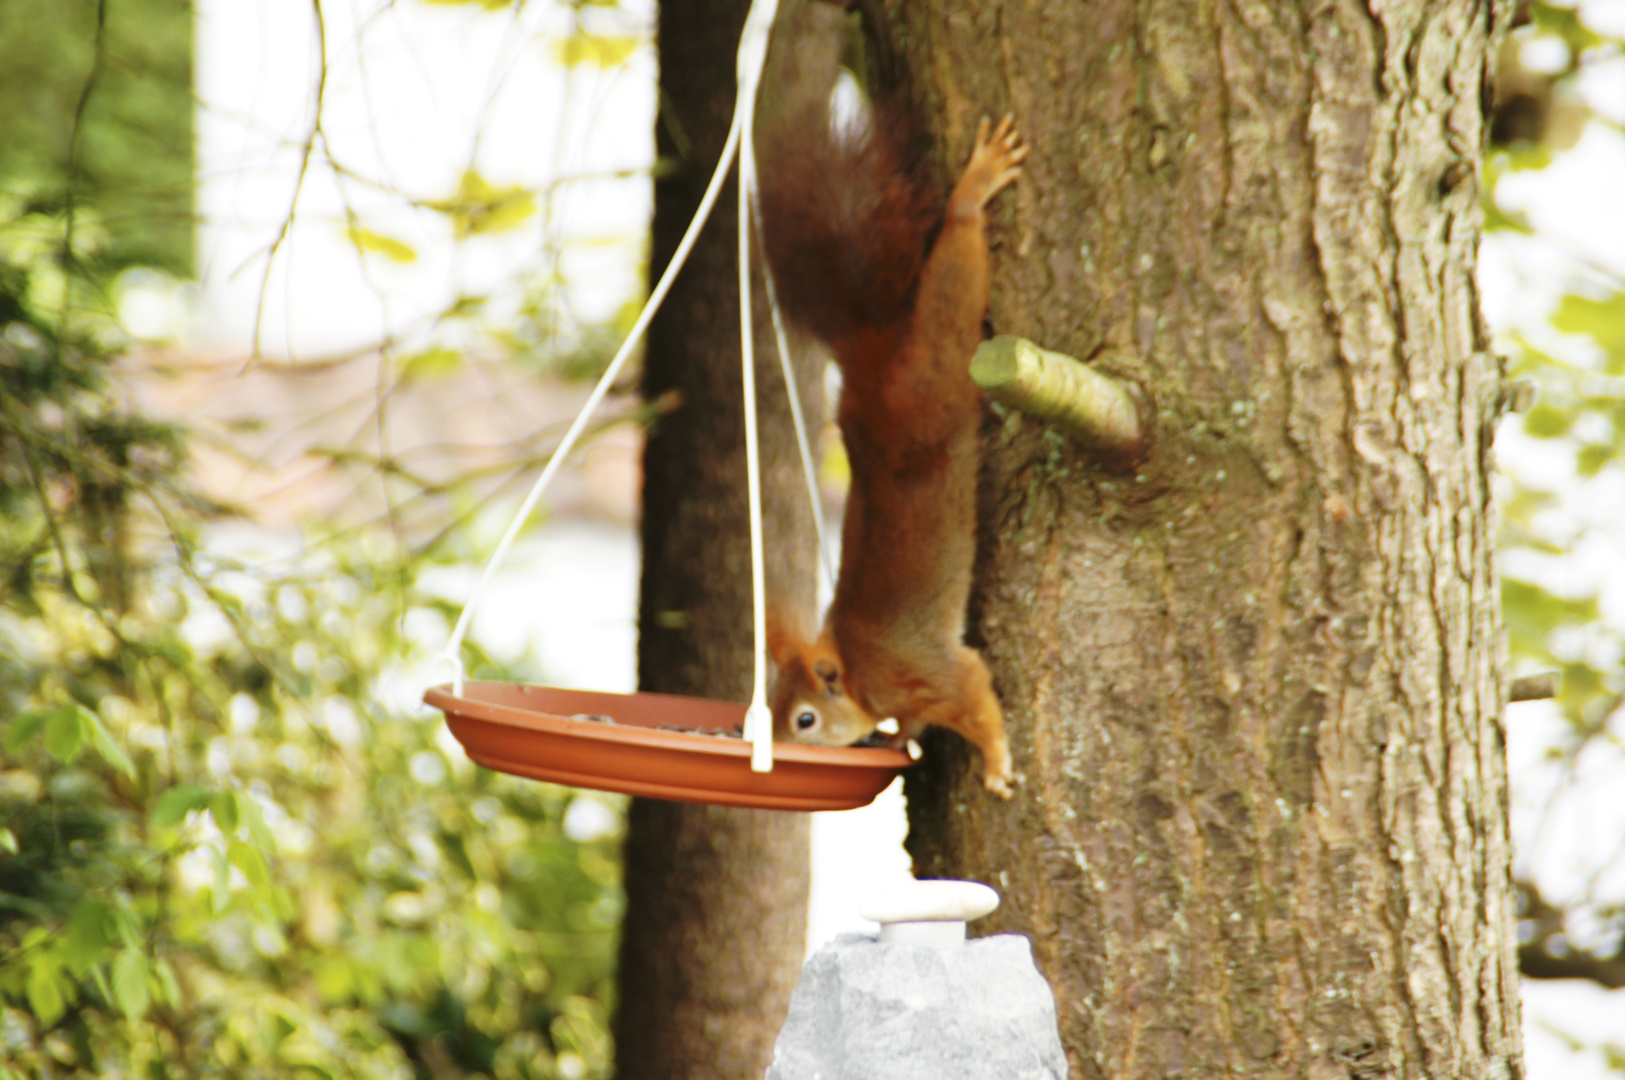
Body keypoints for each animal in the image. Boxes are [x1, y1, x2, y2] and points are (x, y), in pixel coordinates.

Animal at [754, 14, 1020, 799]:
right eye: (767, 713)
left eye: (804, 720)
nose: (785, 753)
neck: (857, 674)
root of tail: (870, 364)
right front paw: (905, 742)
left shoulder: (928, 672)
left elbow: (974, 696)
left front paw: (996, 765)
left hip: (937, 368)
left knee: (953, 276)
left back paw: (972, 192)